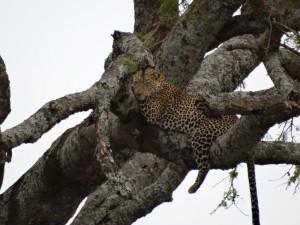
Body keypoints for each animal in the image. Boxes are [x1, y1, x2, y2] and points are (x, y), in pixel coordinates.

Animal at [132, 67, 260, 225]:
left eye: (146, 83)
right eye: (137, 82)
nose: (138, 92)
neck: (161, 85)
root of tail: (236, 120)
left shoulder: (153, 112)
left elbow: (143, 104)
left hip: (201, 134)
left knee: (205, 166)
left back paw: (194, 187)